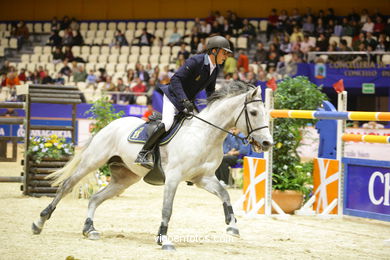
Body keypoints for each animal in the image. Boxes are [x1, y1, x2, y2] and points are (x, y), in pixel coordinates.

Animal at [32, 80, 272, 250]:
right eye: (253, 113)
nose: (267, 143)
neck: (204, 135)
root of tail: (111, 124)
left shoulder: (203, 178)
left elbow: (225, 194)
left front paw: (232, 225)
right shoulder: (174, 177)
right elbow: (167, 209)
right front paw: (163, 239)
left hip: (124, 178)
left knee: (95, 198)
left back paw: (89, 229)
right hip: (93, 161)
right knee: (67, 186)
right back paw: (40, 222)